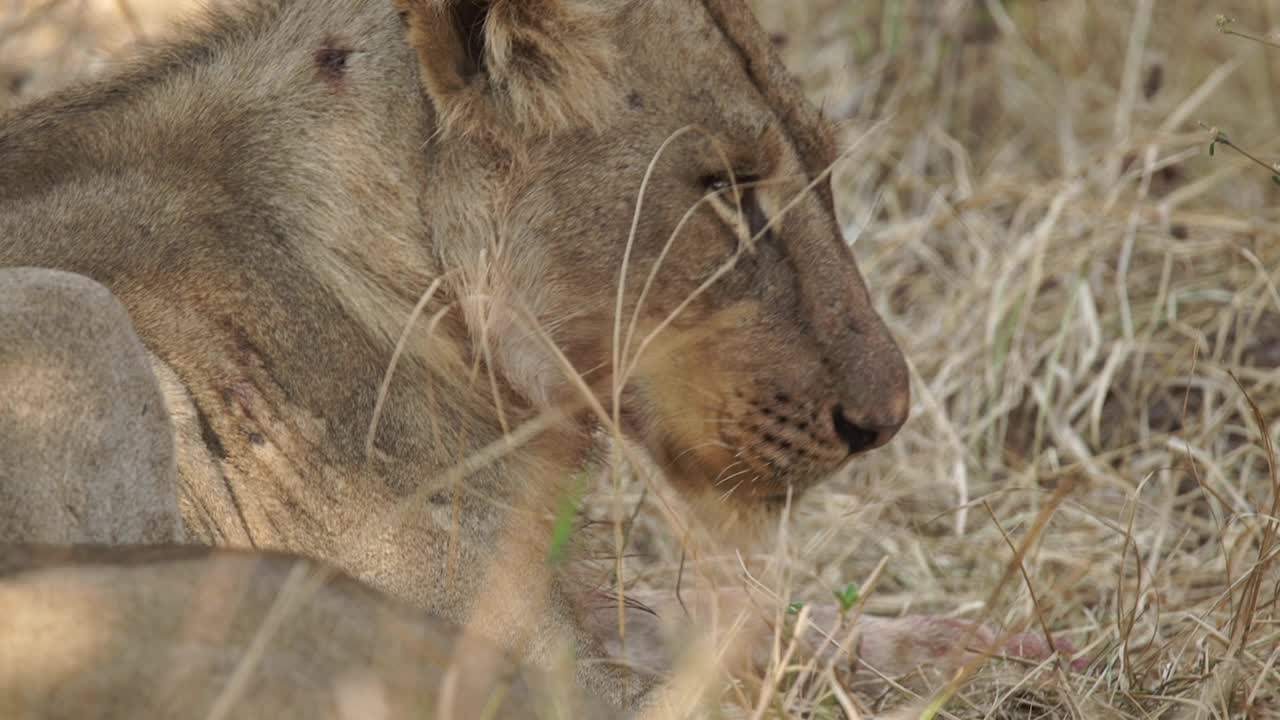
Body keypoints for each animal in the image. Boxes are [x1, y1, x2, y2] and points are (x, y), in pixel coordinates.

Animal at [0, 0, 1075, 707]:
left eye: (825, 165)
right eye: (728, 193)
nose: (883, 422)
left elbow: (718, 618)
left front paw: (975, 645)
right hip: (78, 325)